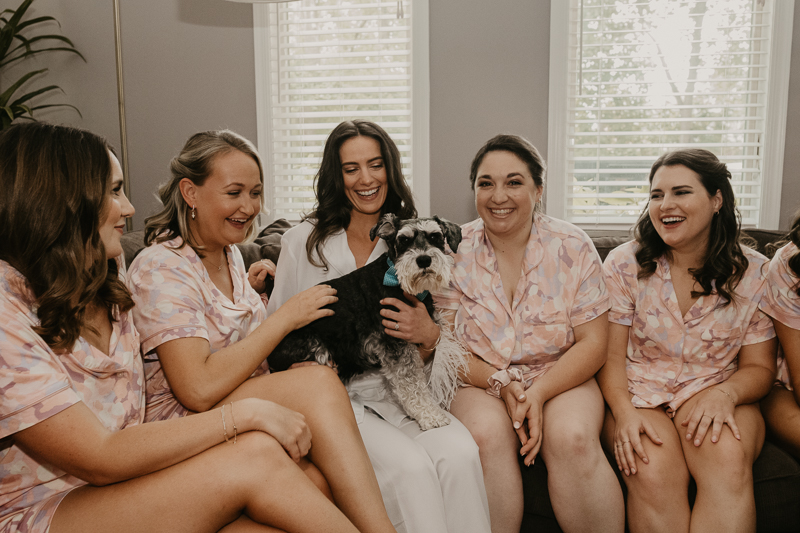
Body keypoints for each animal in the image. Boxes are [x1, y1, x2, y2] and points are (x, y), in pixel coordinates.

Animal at [270, 212, 468, 428]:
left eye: (435, 237)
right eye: (404, 240)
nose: (423, 260)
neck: (395, 278)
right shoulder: (394, 344)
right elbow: (411, 385)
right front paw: (430, 416)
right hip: (318, 353)